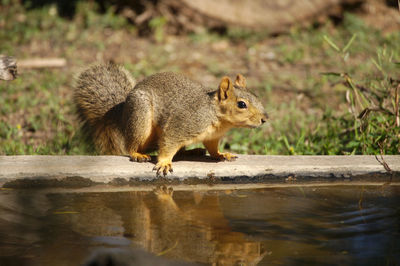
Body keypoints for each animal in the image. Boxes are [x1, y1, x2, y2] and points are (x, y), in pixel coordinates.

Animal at [75, 61, 268, 175]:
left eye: (257, 96)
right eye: (241, 104)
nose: (264, 119)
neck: (216, 116)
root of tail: (122, 114)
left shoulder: (212, 137)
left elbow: (212, 148)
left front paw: (222, 154)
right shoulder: (183, 124)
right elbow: (169, 143)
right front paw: (164, 163)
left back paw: (191, 151)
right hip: (140, 118)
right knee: (132, 145)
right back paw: (138, 154)